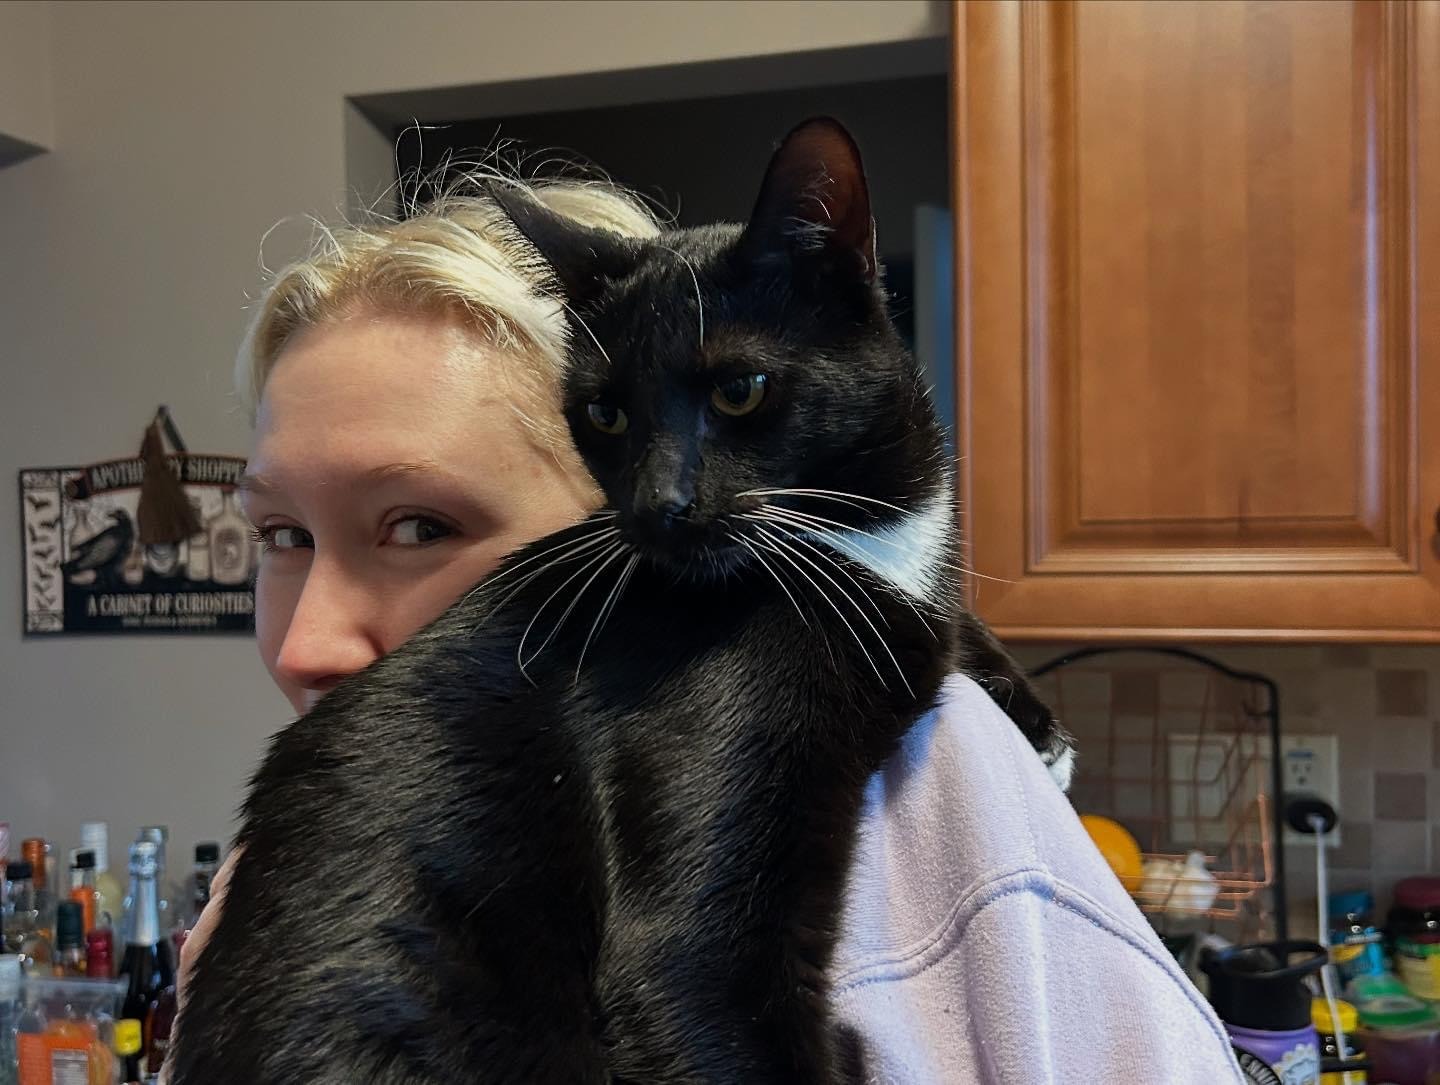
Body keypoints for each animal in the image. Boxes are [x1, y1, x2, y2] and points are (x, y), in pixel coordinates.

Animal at [171, 117, 1070, 1084]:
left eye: (738, 390)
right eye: (604, 413)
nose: (655, 505)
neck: (857, 537)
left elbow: (949, 621)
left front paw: (1038, 719)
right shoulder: (688, 940)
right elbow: (696, 976)